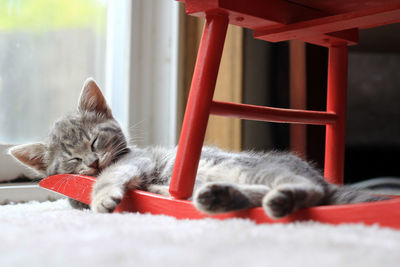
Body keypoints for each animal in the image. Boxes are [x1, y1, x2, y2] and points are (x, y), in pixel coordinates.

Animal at [7, 78, 388, 219]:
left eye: (94, 141)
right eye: (72, 158)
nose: (93, 161)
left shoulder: (135, 161)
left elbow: (110, 176)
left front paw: (101, 195)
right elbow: (74, 197)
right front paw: (83, 196)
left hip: (253, 168)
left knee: (306, 192)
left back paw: (276, 199)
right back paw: (217, 197)